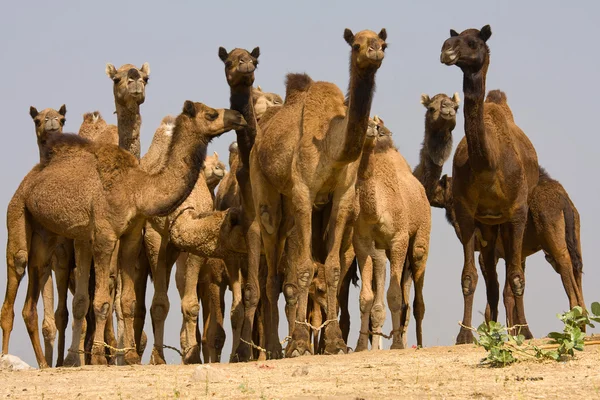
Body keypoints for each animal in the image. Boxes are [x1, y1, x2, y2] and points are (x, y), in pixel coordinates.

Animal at [14, 101, 246, 368]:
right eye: (211, 114)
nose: (239, 116)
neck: (139, 188)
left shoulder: (134, 237)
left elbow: (129, 302)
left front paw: (134, 356)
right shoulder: (110, 236)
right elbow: (105, 302)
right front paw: (102, 357)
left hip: (56, 236)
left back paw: (60, 360)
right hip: (24, 217)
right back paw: (63, 359)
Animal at [248, 29, 390, 358]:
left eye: (383, 43)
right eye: (356, 44)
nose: (374, 52)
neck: (330, 146)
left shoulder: (342, 196)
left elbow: (332, 269)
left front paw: (335, 343)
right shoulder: (303, 191)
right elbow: (302, 269)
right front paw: (300, 344)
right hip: (264, 188)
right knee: (271, 273)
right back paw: (275, 348)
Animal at [352, 116, 432, 350]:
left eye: (377, 126)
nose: (371, 128)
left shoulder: (398, 239)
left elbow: (395, 296)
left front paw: (396, 345)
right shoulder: (361, 242)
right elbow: (365, 298)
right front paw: (361, 346)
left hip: (420, 238)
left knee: (416, 300)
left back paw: (416, 344)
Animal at [438, 25, 540, 344]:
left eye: (473, 42)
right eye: (451, 38)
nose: (446, 50)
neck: (490, 166)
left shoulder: (518, 211)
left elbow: (517, 277)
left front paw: (525, 331)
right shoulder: (467, 213)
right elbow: (468, 277)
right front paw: (464, 335)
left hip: (506, 223)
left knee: (509, 276)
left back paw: (514, 329)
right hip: (489, 226)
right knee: (493, 281)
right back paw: (493, 329)